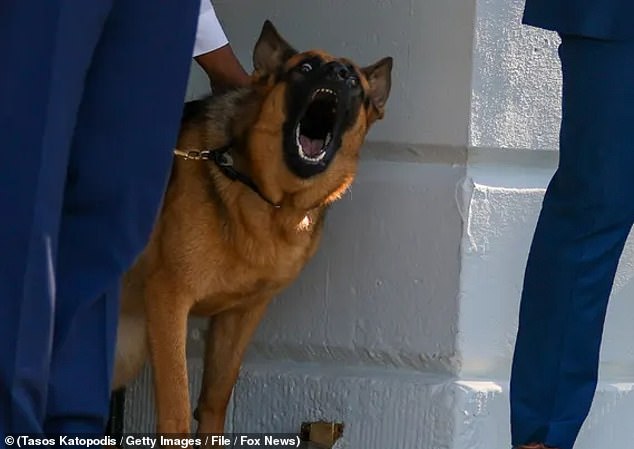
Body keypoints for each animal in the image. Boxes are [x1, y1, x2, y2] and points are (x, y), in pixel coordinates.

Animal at [111, 20, 392, 434]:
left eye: (355, 82)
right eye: (305, 68)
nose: (339, 73)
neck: (270, 198)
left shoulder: (241, 316)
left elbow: (214, 401)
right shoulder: (168, 302)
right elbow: (177, 410)